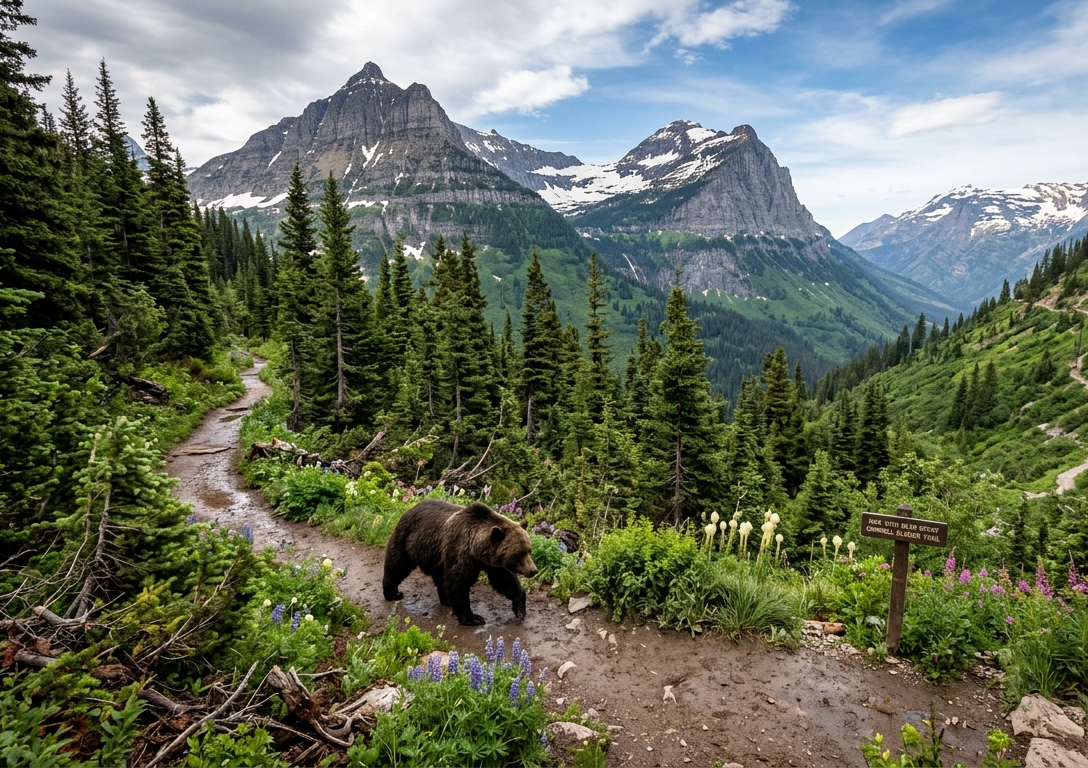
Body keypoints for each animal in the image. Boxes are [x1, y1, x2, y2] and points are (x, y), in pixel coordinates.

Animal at [382, 499, 538, 626]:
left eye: (528, 550)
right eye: (519, 554)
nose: (533, 570)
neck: (476, 549)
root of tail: (410, 508)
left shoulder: (491, 563)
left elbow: (504, 581)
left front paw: (519, 609)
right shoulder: (459, 550)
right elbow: (458, 583)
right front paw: (473, 618)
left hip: (436, 556)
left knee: (440, 578)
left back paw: (446, 600)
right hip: (407, 540)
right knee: (397, 565)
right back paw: (393, 593)